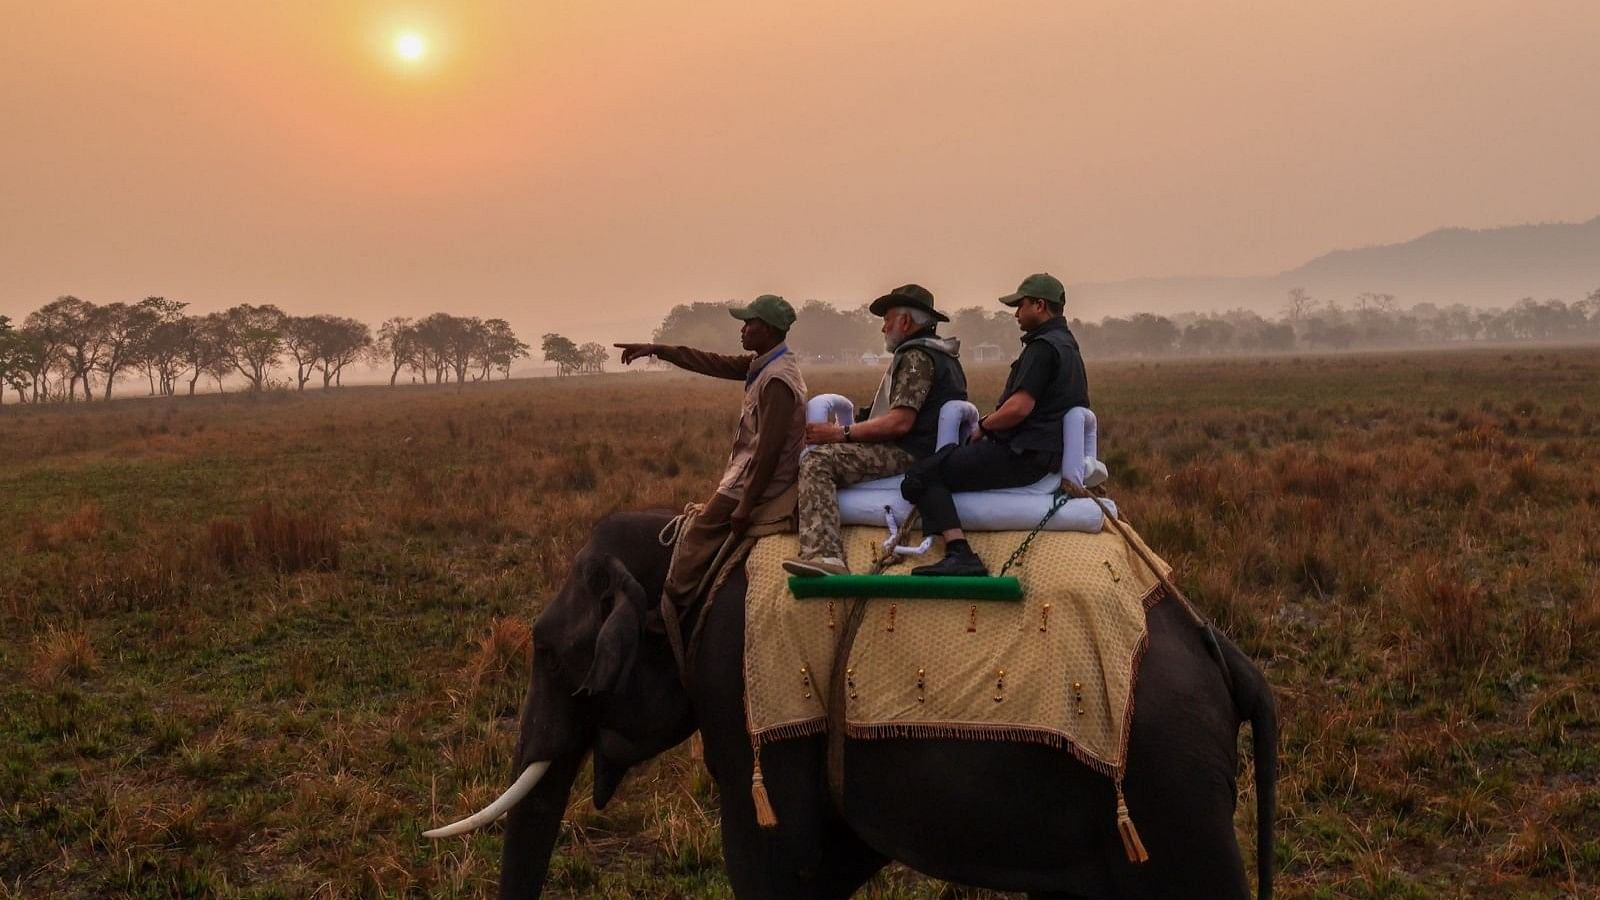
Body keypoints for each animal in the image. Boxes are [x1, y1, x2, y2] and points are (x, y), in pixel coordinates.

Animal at [425, 512, 1273, 896]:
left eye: (546, 651)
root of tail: (1220, 649)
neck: (689, 545)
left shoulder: (741, 688)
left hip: (1171, 785)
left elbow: (778, 860)